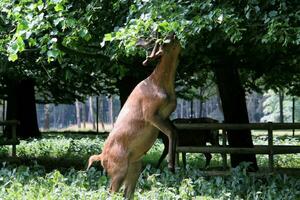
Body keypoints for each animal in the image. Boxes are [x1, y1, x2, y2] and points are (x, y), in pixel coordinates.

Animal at [85, 33, 182, 199]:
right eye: (163, 42)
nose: (172, 34)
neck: (161, 88)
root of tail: (102, 157)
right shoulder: (150, 113)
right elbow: (171, 132)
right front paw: (170, 165)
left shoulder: (166, 115)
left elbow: (175, 131)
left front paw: (173, 165)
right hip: (118, 169)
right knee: (110, 192)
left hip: (134, 167)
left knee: (127, 193)